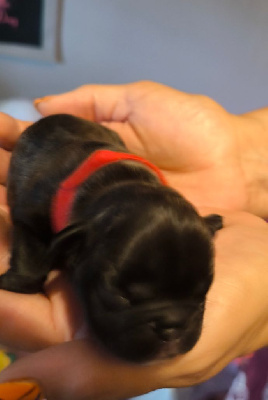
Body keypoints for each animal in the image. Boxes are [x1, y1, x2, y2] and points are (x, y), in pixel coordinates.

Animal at [0, 113, 222, 362]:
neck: (120, 181)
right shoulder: (31, 218)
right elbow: (31, 254)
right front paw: (16, 283)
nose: (172, 326)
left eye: (201, 296)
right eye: (120, 295)